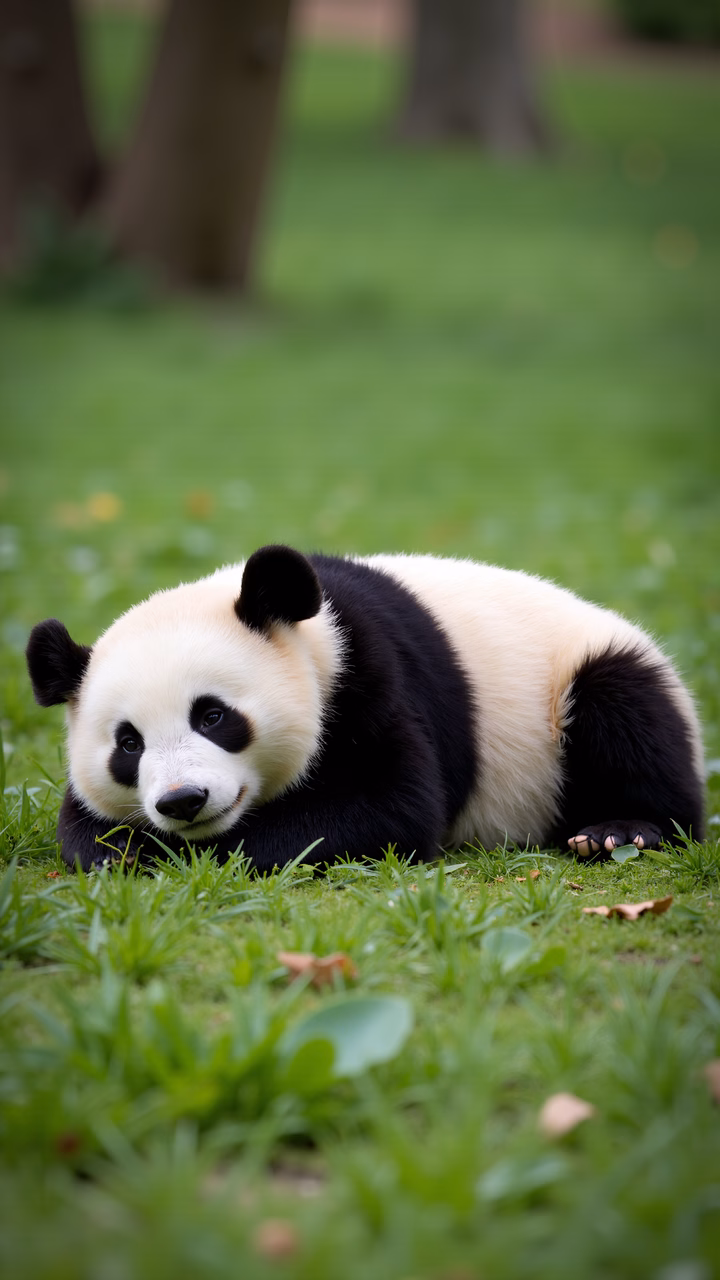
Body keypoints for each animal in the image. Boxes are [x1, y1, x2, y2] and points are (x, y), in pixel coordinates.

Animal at [26, 544, 705, 873]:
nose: (182, 801)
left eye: (212, 716)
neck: (307, 636)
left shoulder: (370, 677)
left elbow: (388, 808)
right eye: (128, 744)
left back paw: (619, 830)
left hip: (580, 678)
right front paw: (132, 846)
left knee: (625, 716)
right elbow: (82, 830)